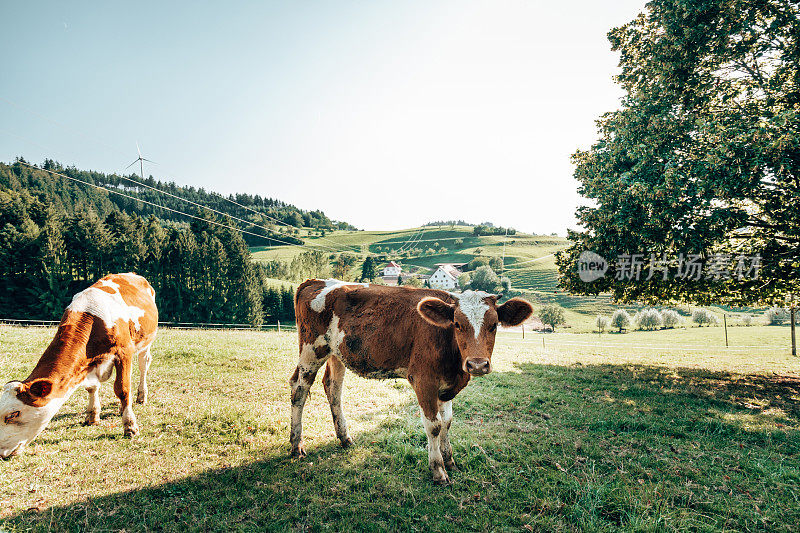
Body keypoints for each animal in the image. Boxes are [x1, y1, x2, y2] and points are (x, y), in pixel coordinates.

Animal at [0, 270, 158, 458]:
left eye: (13, 414)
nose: (0, 452)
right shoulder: (87, 365)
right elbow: (91, 387)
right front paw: (92, 415)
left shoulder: (124, 352)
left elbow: (122, 388)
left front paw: (130, 426)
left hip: (145, 342)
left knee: (143, 365)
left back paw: (141, 396)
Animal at [290, 278, 536, 482]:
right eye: (457, 324)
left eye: (494, 325)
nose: (476, 364)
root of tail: (316, 281)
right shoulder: (423, 380)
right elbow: (434, 425)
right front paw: (438, 470)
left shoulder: (446, 385)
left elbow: (447, 422)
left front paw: (449, 460)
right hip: (312, 349)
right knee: (298, 389)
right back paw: (296, 445)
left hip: (337, 353)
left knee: (333, 388)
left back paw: (344, 438)